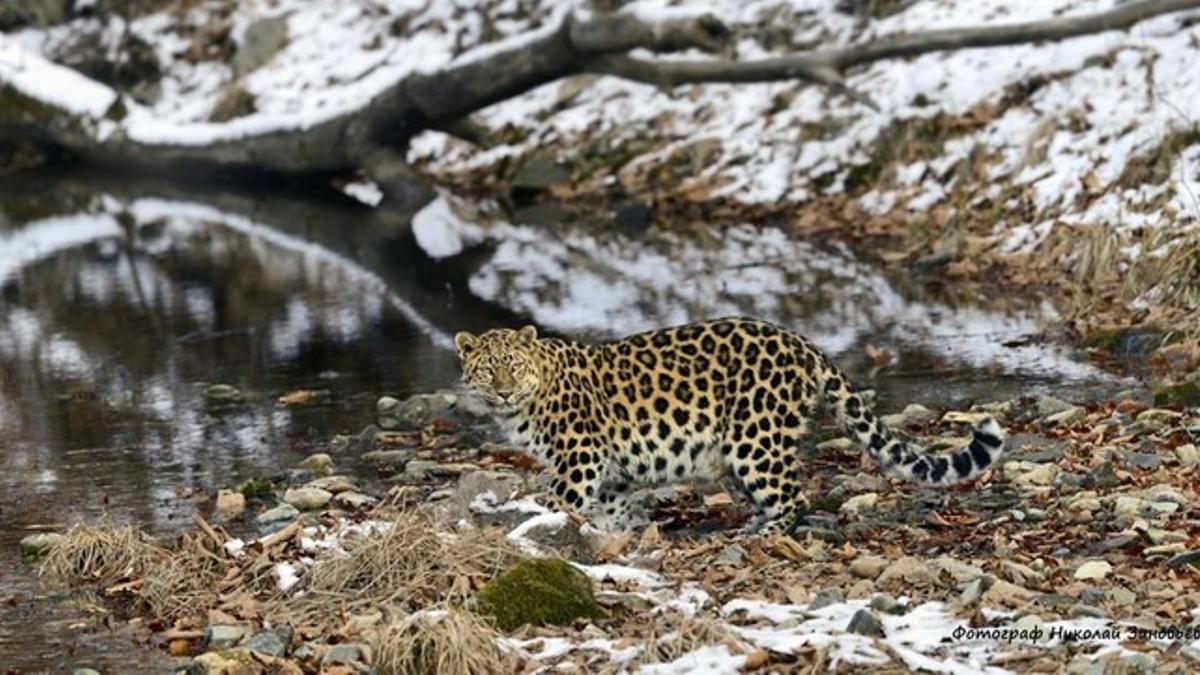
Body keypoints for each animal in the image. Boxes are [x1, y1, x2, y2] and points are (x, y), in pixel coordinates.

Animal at [453, 314, 1008, 530]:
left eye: (513, 366)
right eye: (488, 368)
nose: (503, 389)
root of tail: (803, 343)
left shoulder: (579, 457)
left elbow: (556, 498)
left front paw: (525, 521)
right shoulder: (608, 470)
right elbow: (613, 507)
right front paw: (617, 534)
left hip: (755, 439)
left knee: (793, 498)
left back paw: (762, 533)